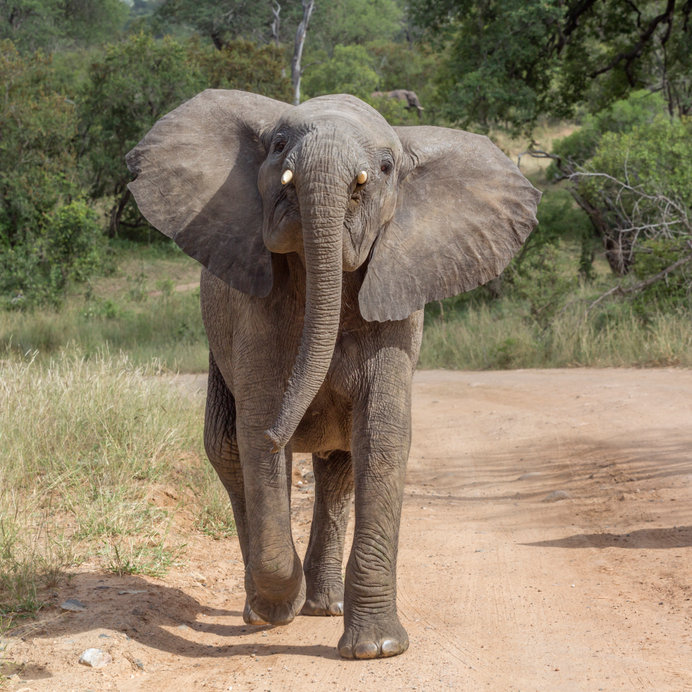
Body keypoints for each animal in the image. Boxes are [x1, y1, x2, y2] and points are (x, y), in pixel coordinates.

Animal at [127, 92, 544, 660]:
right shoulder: (253, 312)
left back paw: (323, 607)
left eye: (386, 168)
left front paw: (377, 649)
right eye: (278, 145)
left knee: (338, 465)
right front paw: (278, 604)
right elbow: (258, 435)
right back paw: (265, 608)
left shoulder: (396, 305)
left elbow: (383, 437)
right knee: (228, 448)